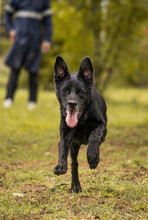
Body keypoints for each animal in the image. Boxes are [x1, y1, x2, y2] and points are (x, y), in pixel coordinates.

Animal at [53, 56, 107, 192]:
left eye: (80, 92)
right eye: (65, 90)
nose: (72, 103)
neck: (82, 118)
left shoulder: (102, 127)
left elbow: (94, 135)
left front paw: (92, 157)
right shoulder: (66, 136)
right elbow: (62, 148)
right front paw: (60, 165)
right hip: (74, 146)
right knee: (74, 164)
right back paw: (75, 186)